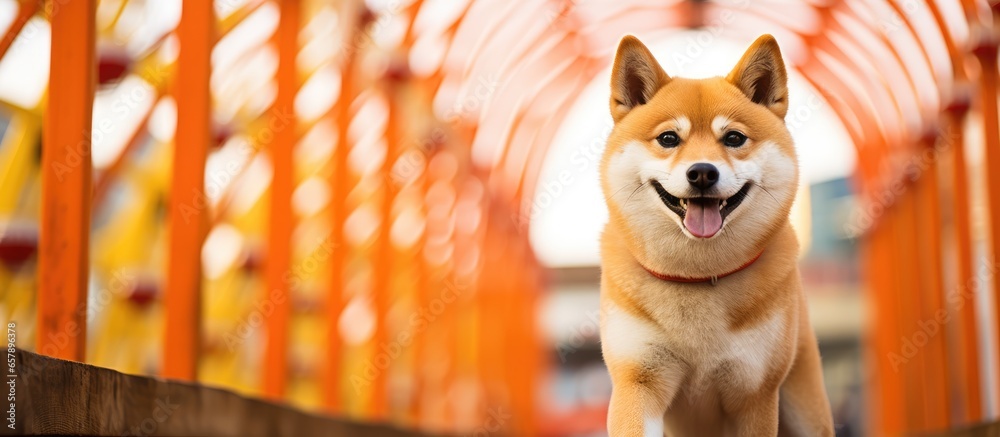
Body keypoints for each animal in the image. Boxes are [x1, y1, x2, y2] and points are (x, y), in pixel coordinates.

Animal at [596, 35, 840, 434]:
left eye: (734, 138)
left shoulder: (755, 394)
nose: (702, 173)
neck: (696, 277)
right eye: (668, 138)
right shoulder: (638, 382)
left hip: (806, 407)